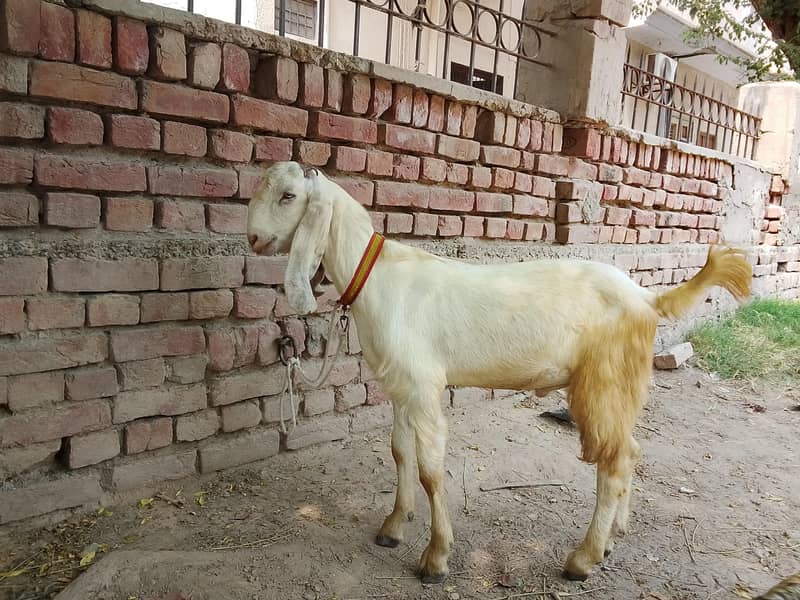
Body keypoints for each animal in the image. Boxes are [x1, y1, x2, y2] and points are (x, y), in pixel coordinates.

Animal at [246, 161, 753, 584]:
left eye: (288, 196)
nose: (252, 240)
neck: (377, 275)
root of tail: (648, 297)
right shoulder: (401, 386)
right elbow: (400, 454)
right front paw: (392, 526)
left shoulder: (424, 387)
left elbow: (431, 472)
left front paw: (436, 558)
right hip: (621, 385)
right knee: (631, 450)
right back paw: (614, 536)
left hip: (604, 380)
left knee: (614, 461)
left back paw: (583, 559)